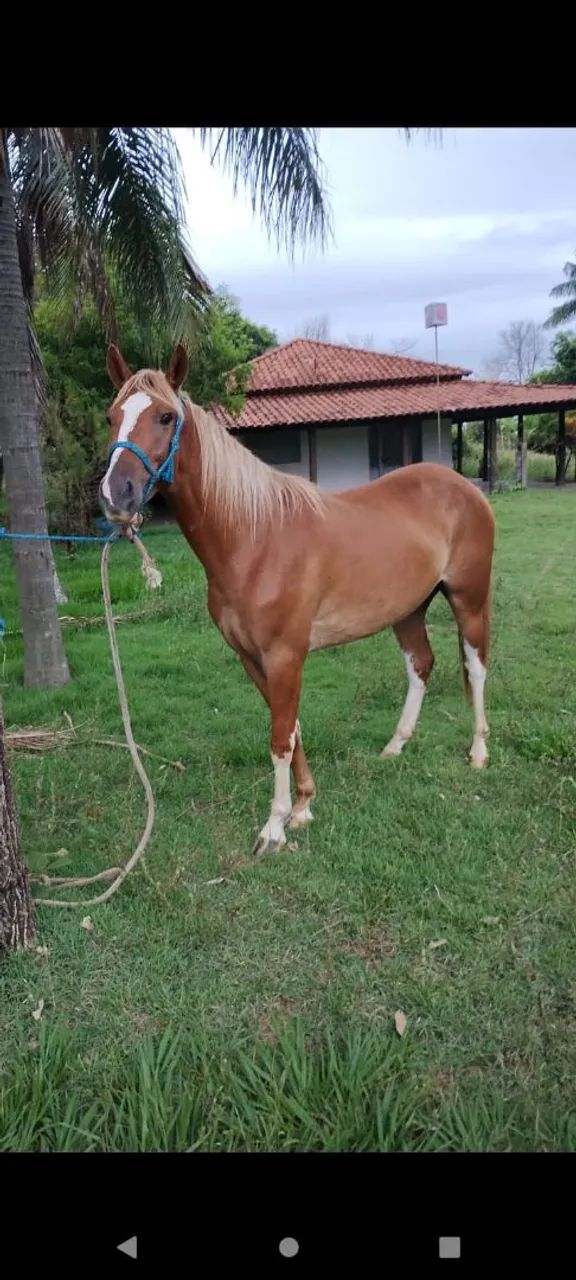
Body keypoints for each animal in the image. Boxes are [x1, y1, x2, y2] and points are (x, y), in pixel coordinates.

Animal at [100, 343, 495, 856]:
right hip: (409, 610)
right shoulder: (252, 657)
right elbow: (289, 725)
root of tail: (463, 486)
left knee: (476, 667)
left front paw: (274, 827)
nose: (117, 495)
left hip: (469, 598)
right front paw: (304, 806)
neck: (254, 537)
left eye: (166, 417)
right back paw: (395, 746)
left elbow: (280, 738)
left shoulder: (285, 655)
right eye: (112, 417)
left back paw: (479, 752)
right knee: (420, 665)